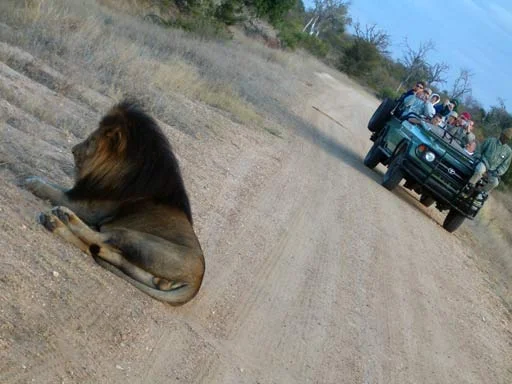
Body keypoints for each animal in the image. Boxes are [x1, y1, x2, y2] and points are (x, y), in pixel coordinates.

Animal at [24, 100, 204, 306]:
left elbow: (52, 190)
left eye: (91, 141)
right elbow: (55, 186)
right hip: (136, 267)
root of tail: (197, 282)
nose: (73, 150)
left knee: (100, 238)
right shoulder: (82, 194)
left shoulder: (87, 207)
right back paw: (54, 224)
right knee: (101, 250)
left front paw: (33, 182)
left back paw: (62, 217)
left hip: (137, 240)